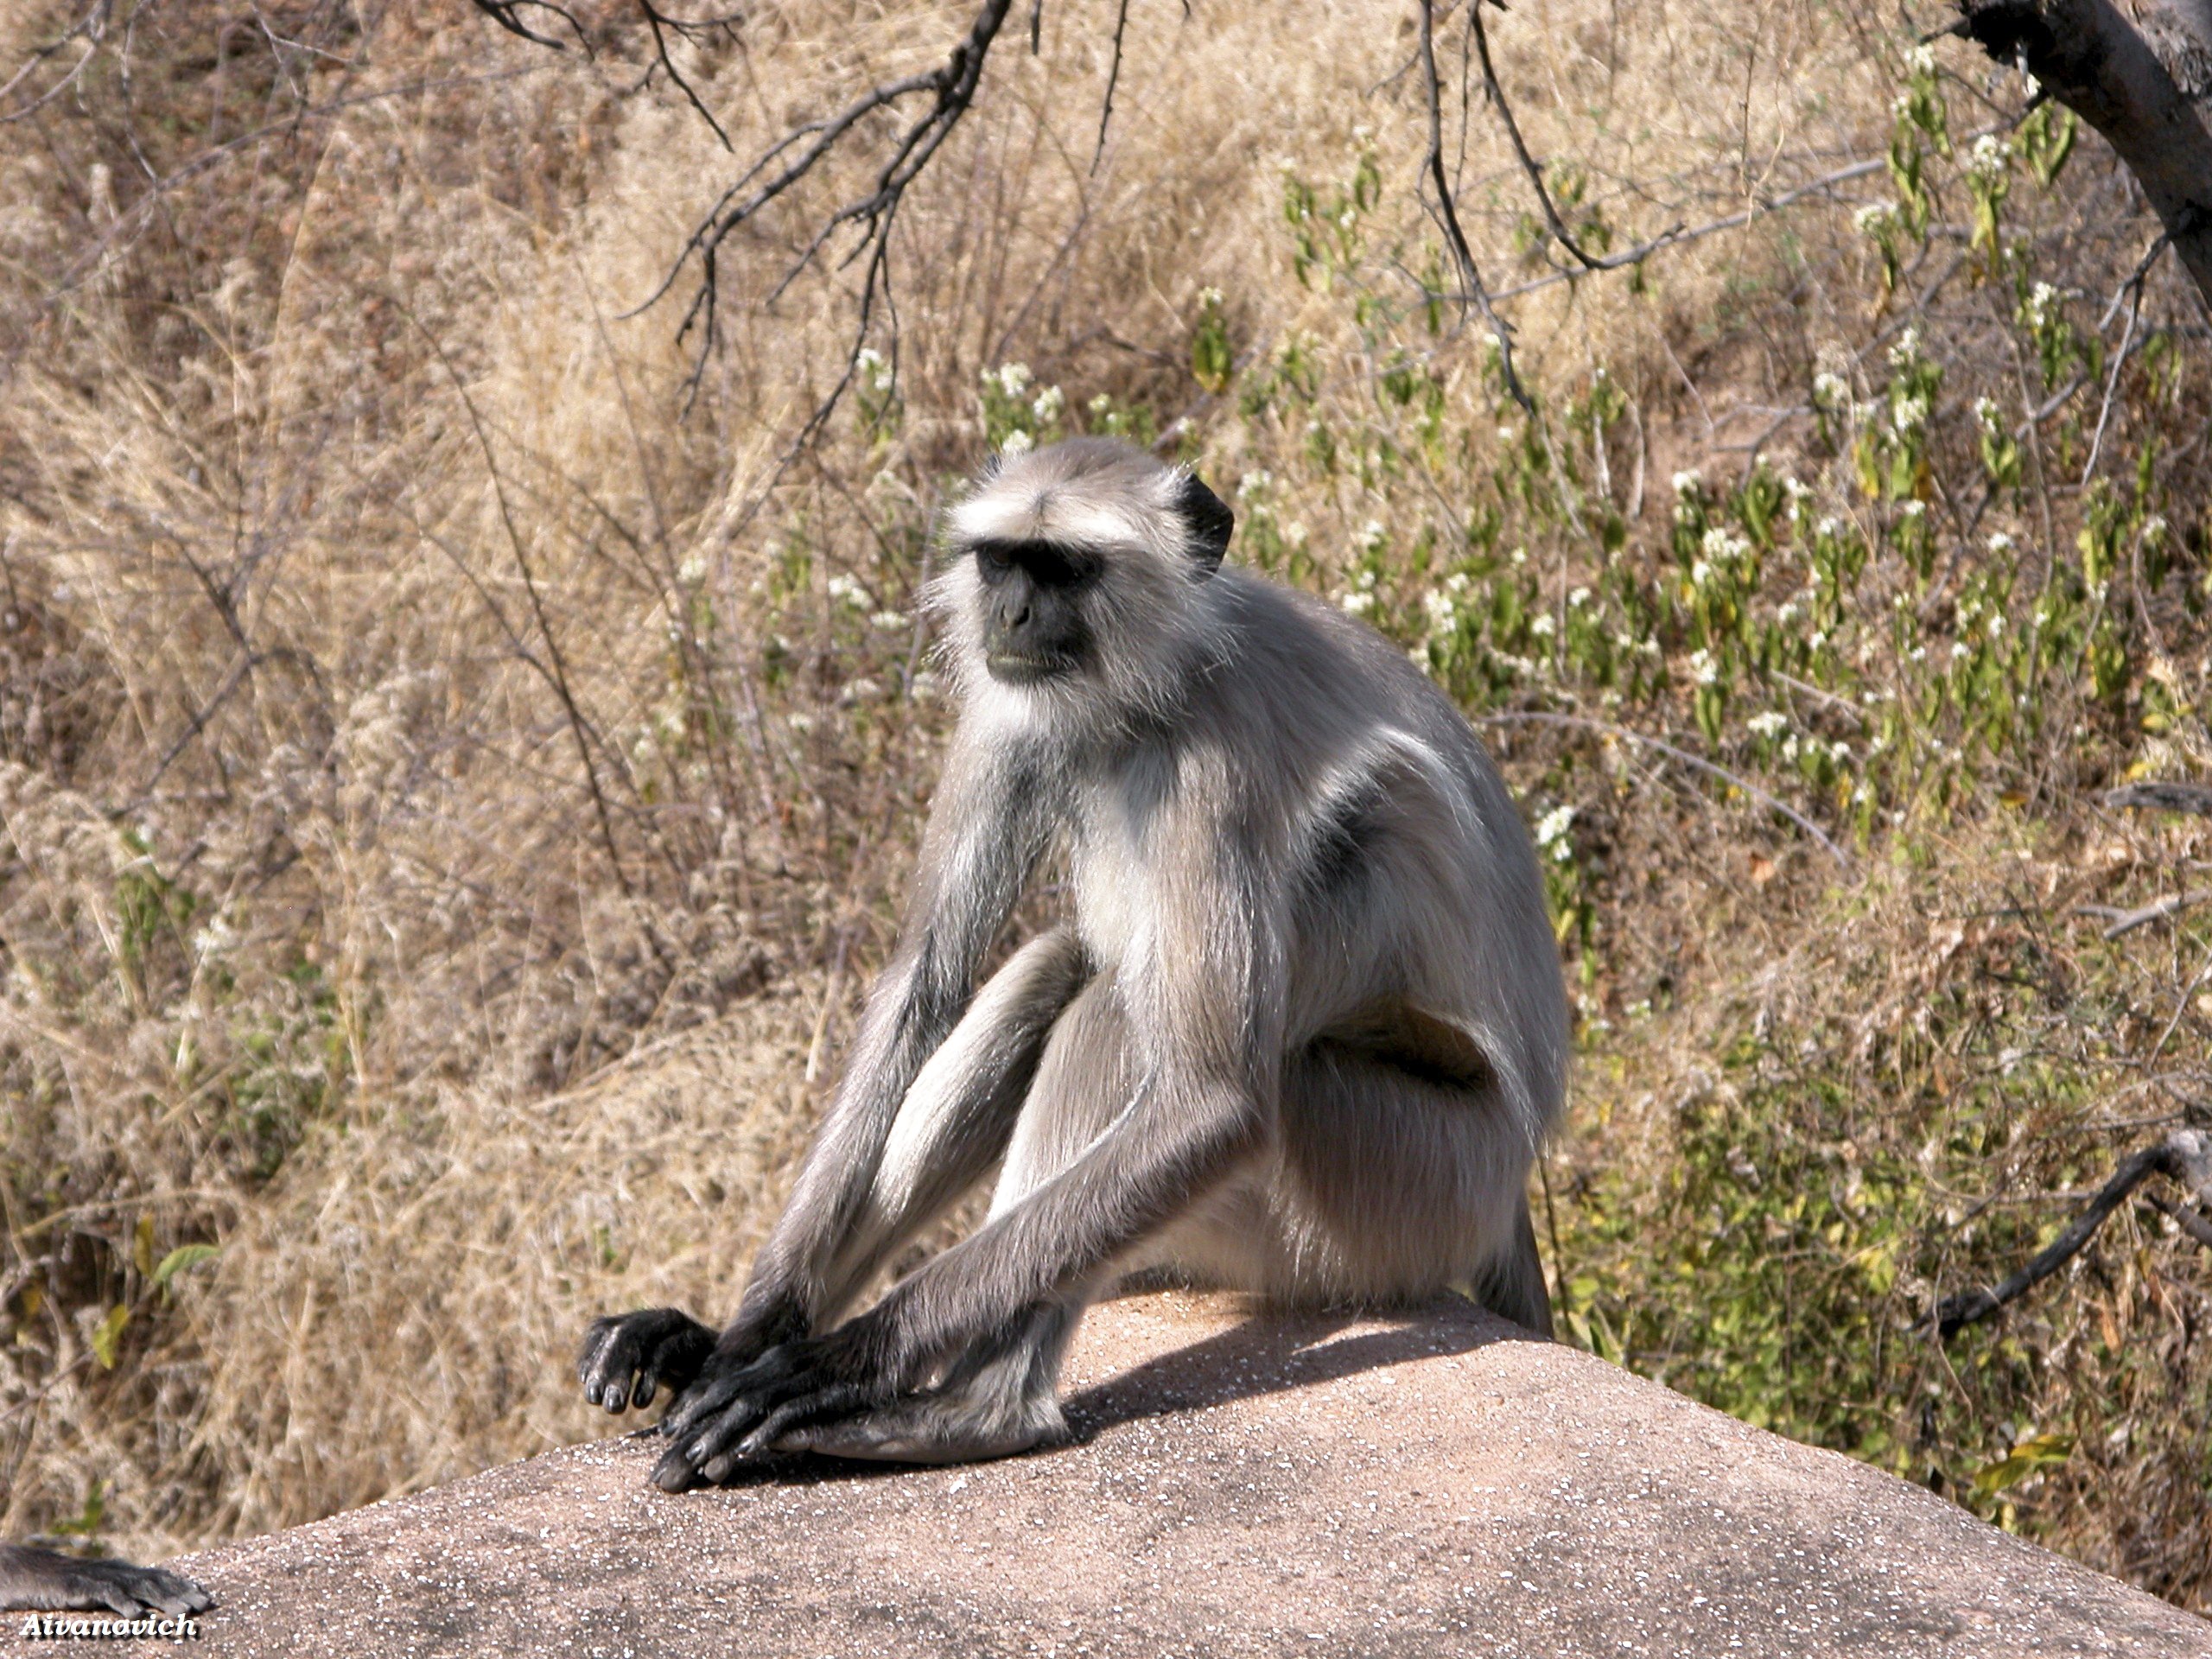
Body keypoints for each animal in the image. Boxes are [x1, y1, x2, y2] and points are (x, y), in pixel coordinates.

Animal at [579, 437, 1566, 1478]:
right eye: (1004, 563)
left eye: (1064, 570)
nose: (1011, 613)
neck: (1157, 682)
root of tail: (1509, 1183)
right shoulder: (1005, 703)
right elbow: (921, 987)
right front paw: (750, 1332)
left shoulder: (1215, 761)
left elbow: (1213, 1104)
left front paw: (842, 1358)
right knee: (1055, 973)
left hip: (1400, 1183)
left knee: (1127, 1012)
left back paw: (977, 1414)